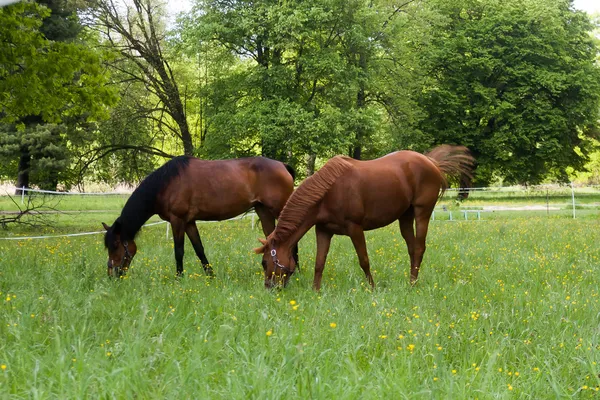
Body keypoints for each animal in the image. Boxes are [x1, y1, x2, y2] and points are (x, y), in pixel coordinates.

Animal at [105, 156, 298, 278]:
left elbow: (179, 251)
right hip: (263, 211)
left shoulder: (177, 221)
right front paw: (211, 276)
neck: (166, 183)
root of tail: (282, 165)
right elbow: (199, 249)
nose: (111, 274)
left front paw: (179, 278)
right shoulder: (189, 222)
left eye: (115, 245)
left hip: (279, 210)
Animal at [253, 145, 474, 290]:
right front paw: (316, 291)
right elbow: (319, 262)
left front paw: (372, 289)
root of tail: (431, 162)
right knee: (412, 249)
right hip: (405, 217)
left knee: (419, 247)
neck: (328, 192)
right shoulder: (323, 230)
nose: (269, 287)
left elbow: (364, 260)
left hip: (422, 213)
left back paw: (413, 285)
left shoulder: (355, 229)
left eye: (265, 262)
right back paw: (412, 281)